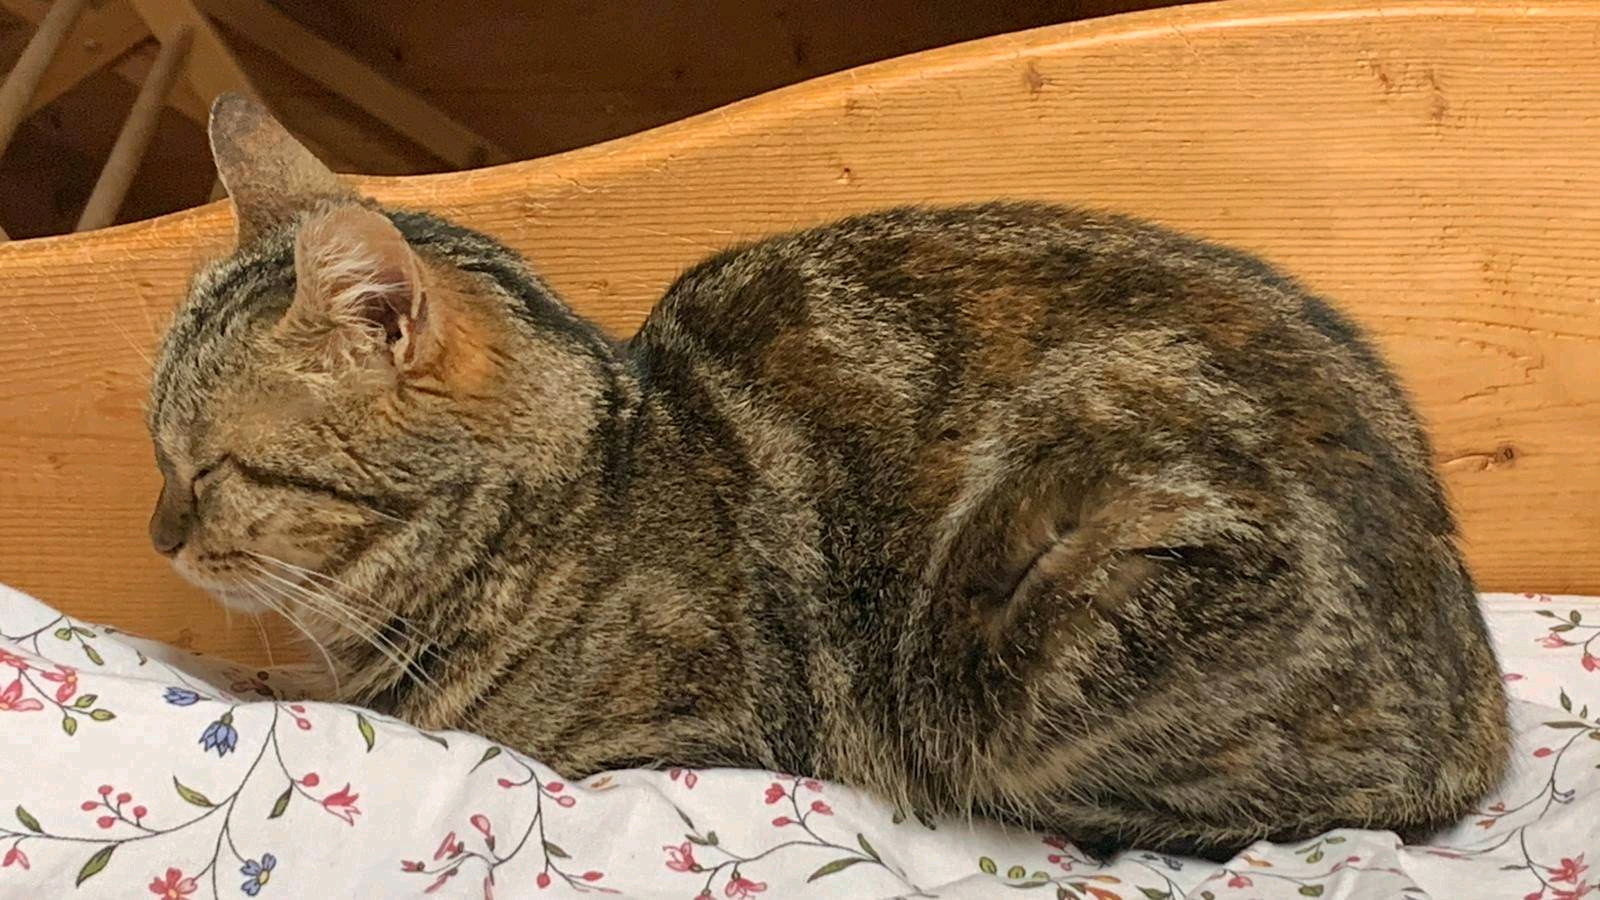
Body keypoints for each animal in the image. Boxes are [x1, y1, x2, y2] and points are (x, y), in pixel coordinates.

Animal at [146, 93, 1510, 858]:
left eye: (208, 470)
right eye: (155, 458)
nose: (158, 537)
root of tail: (1477, 704)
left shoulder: (680, 739)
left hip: (1036, 631)